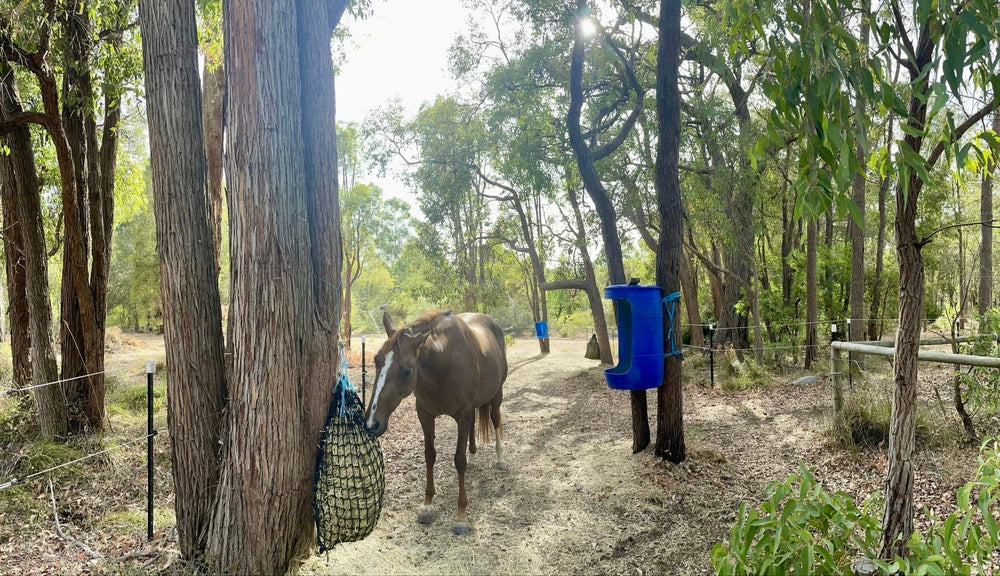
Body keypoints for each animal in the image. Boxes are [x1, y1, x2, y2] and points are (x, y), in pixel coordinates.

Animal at [363, 309, 508, 535]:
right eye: (376, 360)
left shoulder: (462, 415)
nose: (372, 423)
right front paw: (427, 505)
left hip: (495, 397)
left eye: (406, 370)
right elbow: (429, 455)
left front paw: (461, 516)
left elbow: (459, 460)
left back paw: (500, 459)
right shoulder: (425, 415)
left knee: (496, 421)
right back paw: (473, 458)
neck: (443, 363)